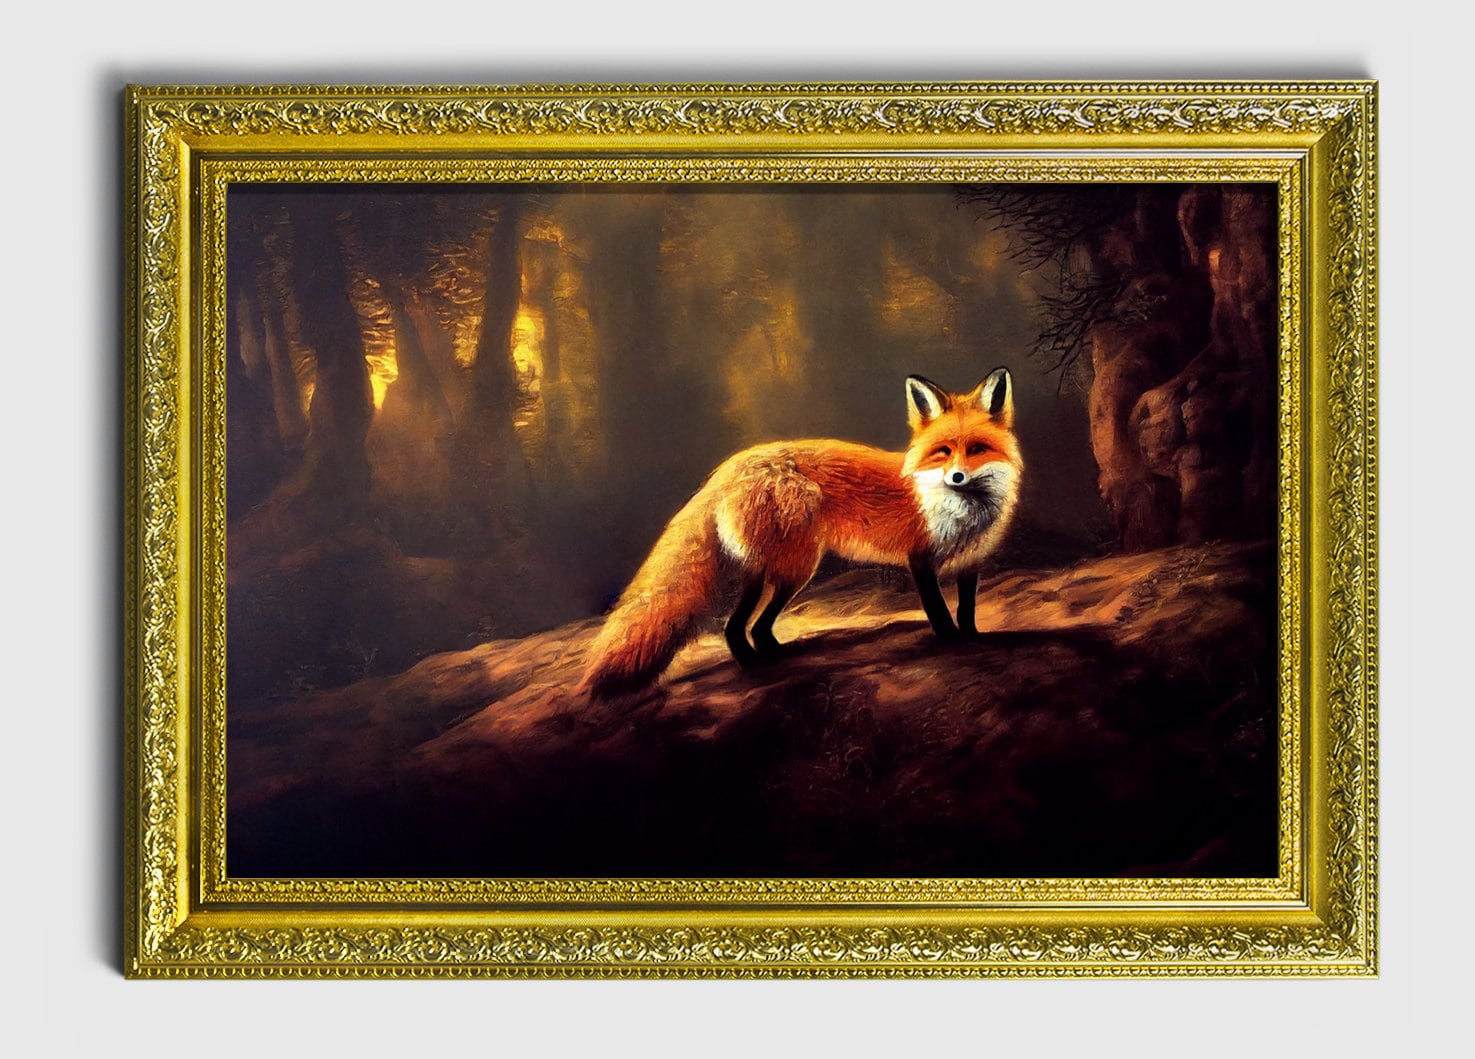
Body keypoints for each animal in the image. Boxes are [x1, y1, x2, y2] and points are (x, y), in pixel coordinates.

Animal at [580, 368, 1021, 697]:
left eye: (977, 449)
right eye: (943, 451)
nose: (957, 476)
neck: (959, 506)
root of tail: (730, 467)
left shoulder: (971, 559)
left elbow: (966, 610)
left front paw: (971, 639)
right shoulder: (921, 559)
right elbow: (940, 611)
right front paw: (950, 642)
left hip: (780, 569)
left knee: (755, 627)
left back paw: (780, 656)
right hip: (792, 567)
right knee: (736, 626)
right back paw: (755, 666)